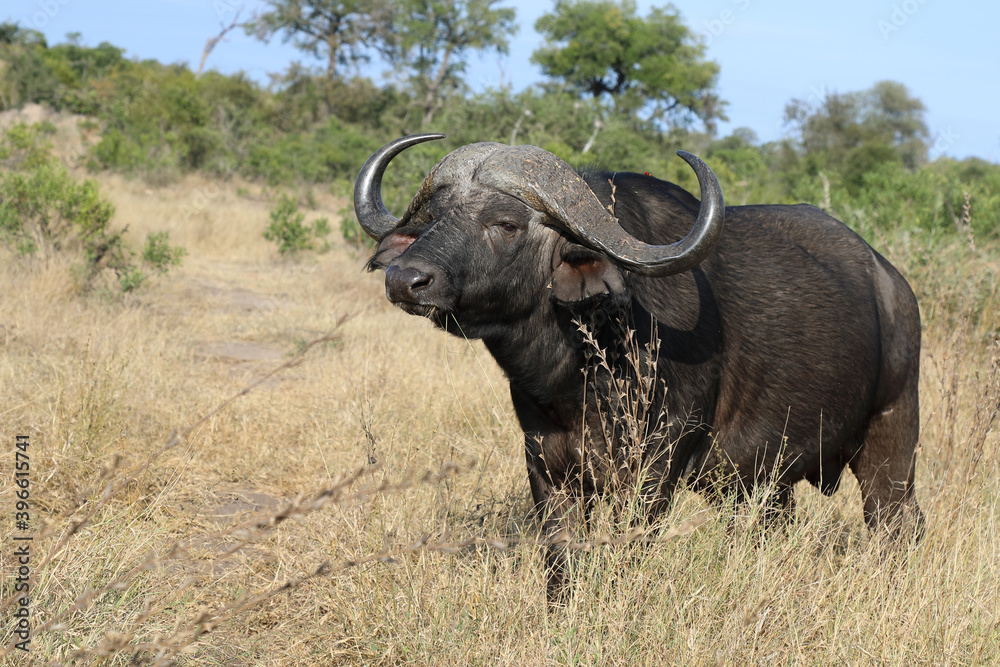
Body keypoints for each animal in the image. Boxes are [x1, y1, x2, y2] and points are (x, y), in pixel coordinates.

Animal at [356, 134, 924, 596]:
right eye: (433, 218)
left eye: (506, 223)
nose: (405, 278)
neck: (582, 373)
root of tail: (893, 284)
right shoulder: (547, 468)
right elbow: (561, 561)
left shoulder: (655, 470)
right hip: (767, 481)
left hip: (892, 441)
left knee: (897, 523)